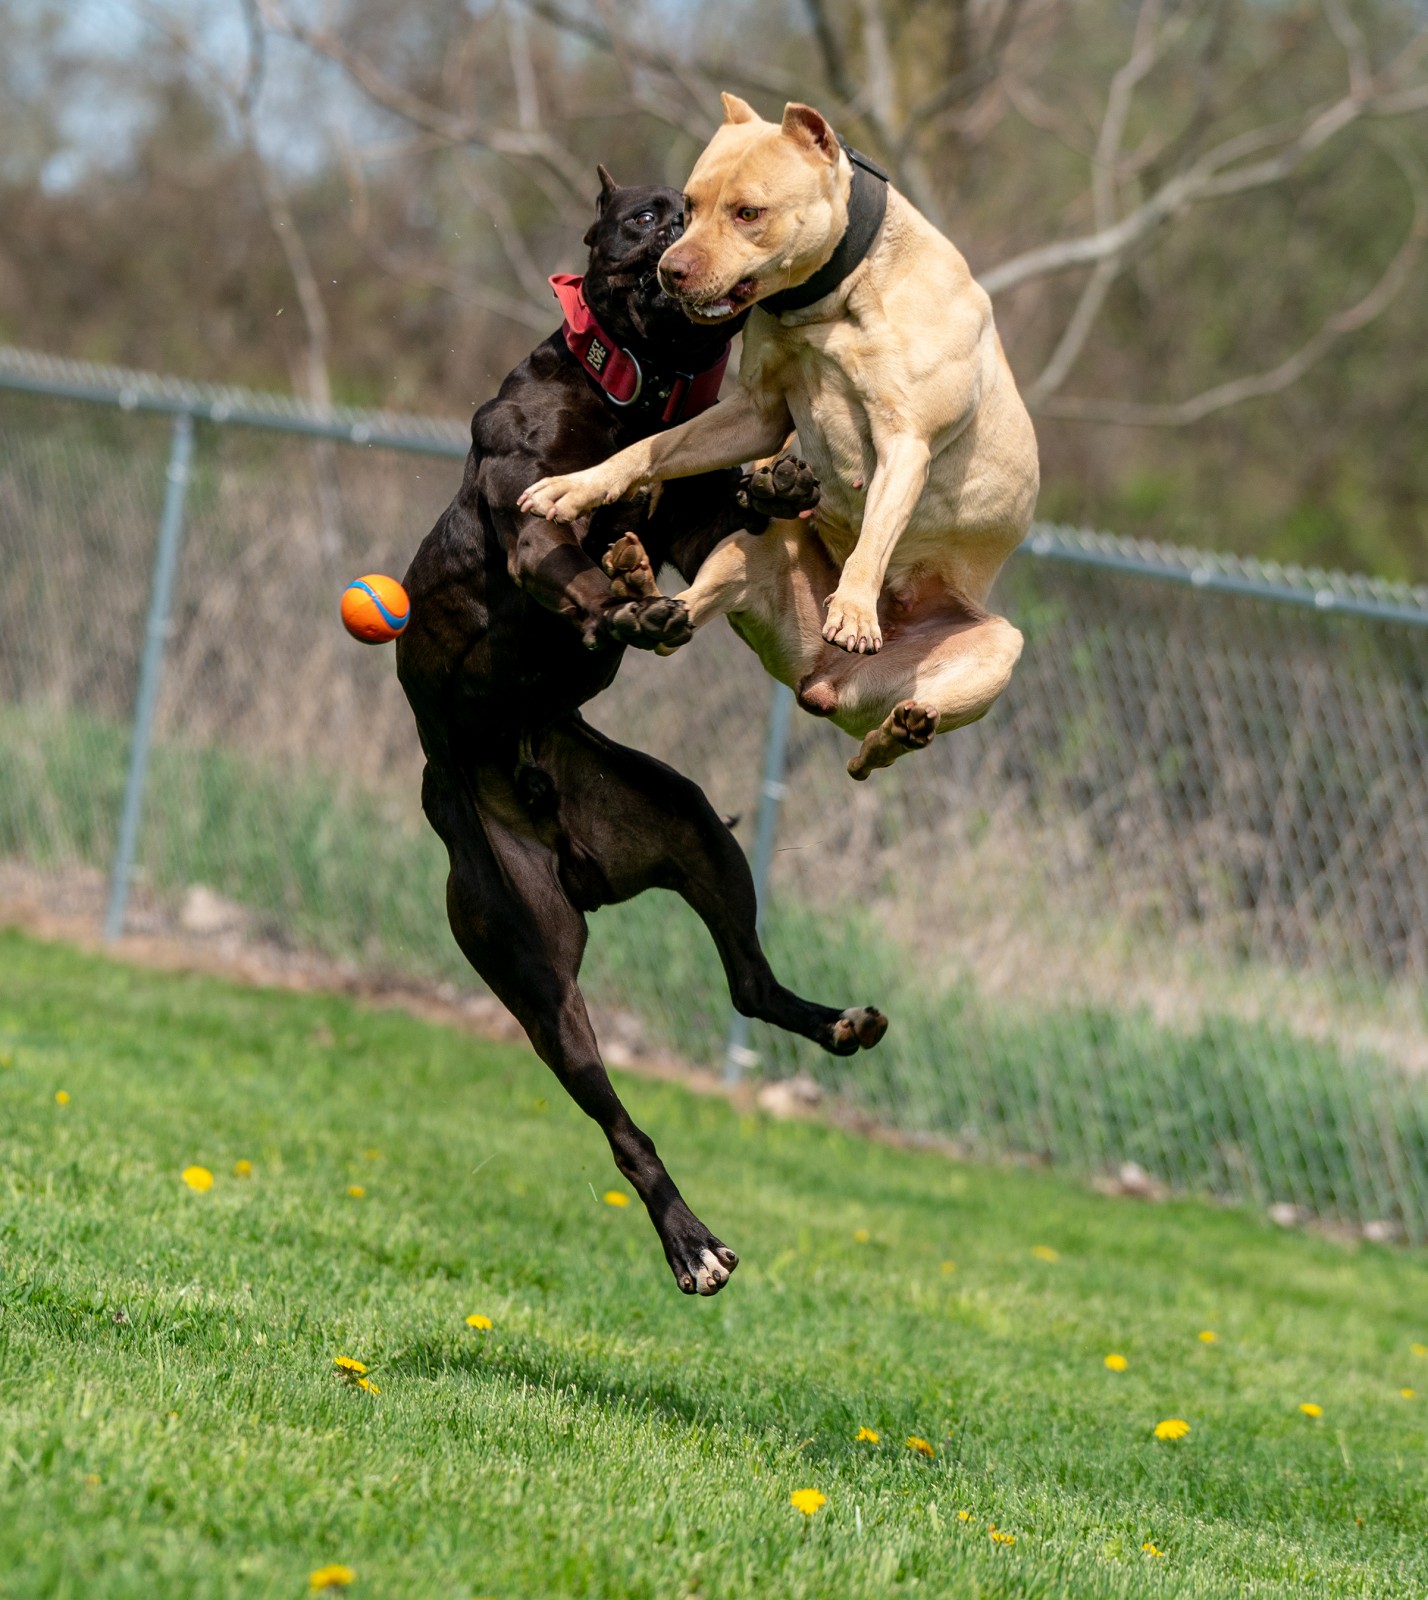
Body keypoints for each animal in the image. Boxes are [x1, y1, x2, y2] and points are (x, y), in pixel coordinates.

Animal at [390, 168, 883, 1292]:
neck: (635, 392)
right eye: (649, 214)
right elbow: (575, 567)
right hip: (532, 967)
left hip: (690, 828)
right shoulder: (534, 524)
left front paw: (774, 480)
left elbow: (705, 517)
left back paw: (837, 1022)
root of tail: (560, 840)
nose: (684, 240)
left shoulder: (686, 524)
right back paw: (689, 1241)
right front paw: (623, 609)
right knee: (620, 1122)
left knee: (749, 983)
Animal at [525, 93, 1037, 780]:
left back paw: (899, 730)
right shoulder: (758, 411)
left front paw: (855, 608)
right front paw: (576, 489)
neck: (832, 300)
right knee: (679, 627)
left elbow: (878, 529)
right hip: (756, 547)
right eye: (689, 208)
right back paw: (637, 584)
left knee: (895, 736)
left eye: (749, 213)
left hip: (994, 651)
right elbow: (650, 450)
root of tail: (822, 681)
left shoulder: (906, 442)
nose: (670, 270)